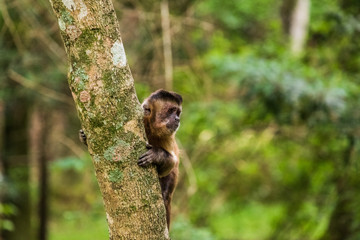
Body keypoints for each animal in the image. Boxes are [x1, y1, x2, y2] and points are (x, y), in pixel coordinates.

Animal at [79, 89, 183, 229]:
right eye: (171, 111)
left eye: (177, 112)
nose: (177, 118)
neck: (149, 127)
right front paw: (84, 137)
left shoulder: (166, 137)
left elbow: (171, 163)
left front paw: (156, 155)